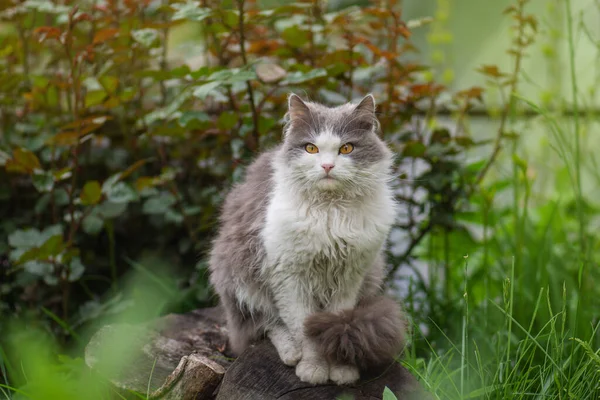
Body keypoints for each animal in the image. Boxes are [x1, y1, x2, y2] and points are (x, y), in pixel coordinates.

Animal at [207, 93, 408, 384]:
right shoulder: (290, 277)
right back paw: (291, 353)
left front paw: (340, 370)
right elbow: (305, 331)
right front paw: (313, 369)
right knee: (263, 327)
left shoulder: (349, 277)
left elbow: (337, 322)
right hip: (239, 278)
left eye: (346, 148)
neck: (330, 212)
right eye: (311, 149)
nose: (327, 166)